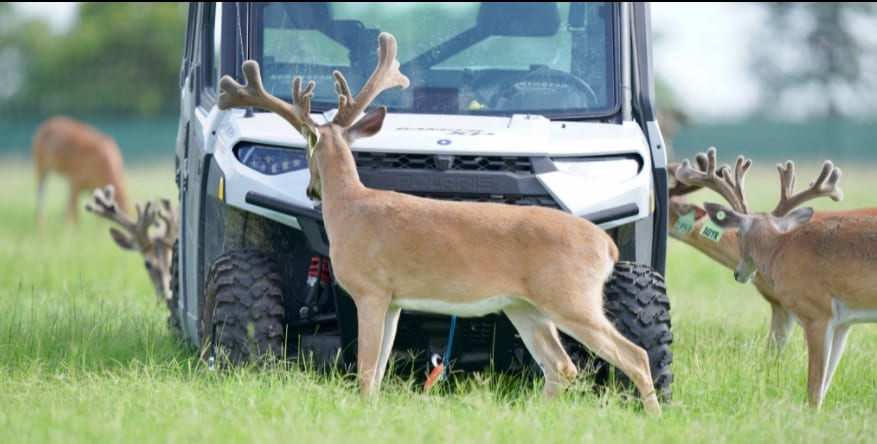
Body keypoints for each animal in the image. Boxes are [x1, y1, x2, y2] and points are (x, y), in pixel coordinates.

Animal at [216, 32, 662, 416]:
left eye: (307, 152)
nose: (310, 190)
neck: (350, 207)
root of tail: (606, 246)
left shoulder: (370, 288)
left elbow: (365, 370)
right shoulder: (394, 300)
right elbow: (378, 370)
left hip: (570, 296)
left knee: (634, 355)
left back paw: (654, 417)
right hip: (526, 307)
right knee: (562, 366)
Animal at [675, 149, 877, 410]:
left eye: (738, 234)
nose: (738, 273)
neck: (781, 249)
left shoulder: (817, 313)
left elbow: (814, 389)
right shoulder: (844, 323)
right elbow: (825, 385)